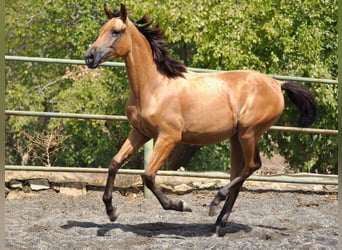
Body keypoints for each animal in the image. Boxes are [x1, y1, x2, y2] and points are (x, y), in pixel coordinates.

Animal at [84, 2, 316, 235]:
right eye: (100, 30)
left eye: (115, 31)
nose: (89, 57)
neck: (155, 86)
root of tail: (277, 83)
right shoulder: (140, 132)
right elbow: (114, 163)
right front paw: (111, 211)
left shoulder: (169, 137)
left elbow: (148, 175)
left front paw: (180, 205)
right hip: (237, 137)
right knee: (240, 173)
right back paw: (218, 225)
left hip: (249, 133)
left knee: (252, 166)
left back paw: (214, 204)